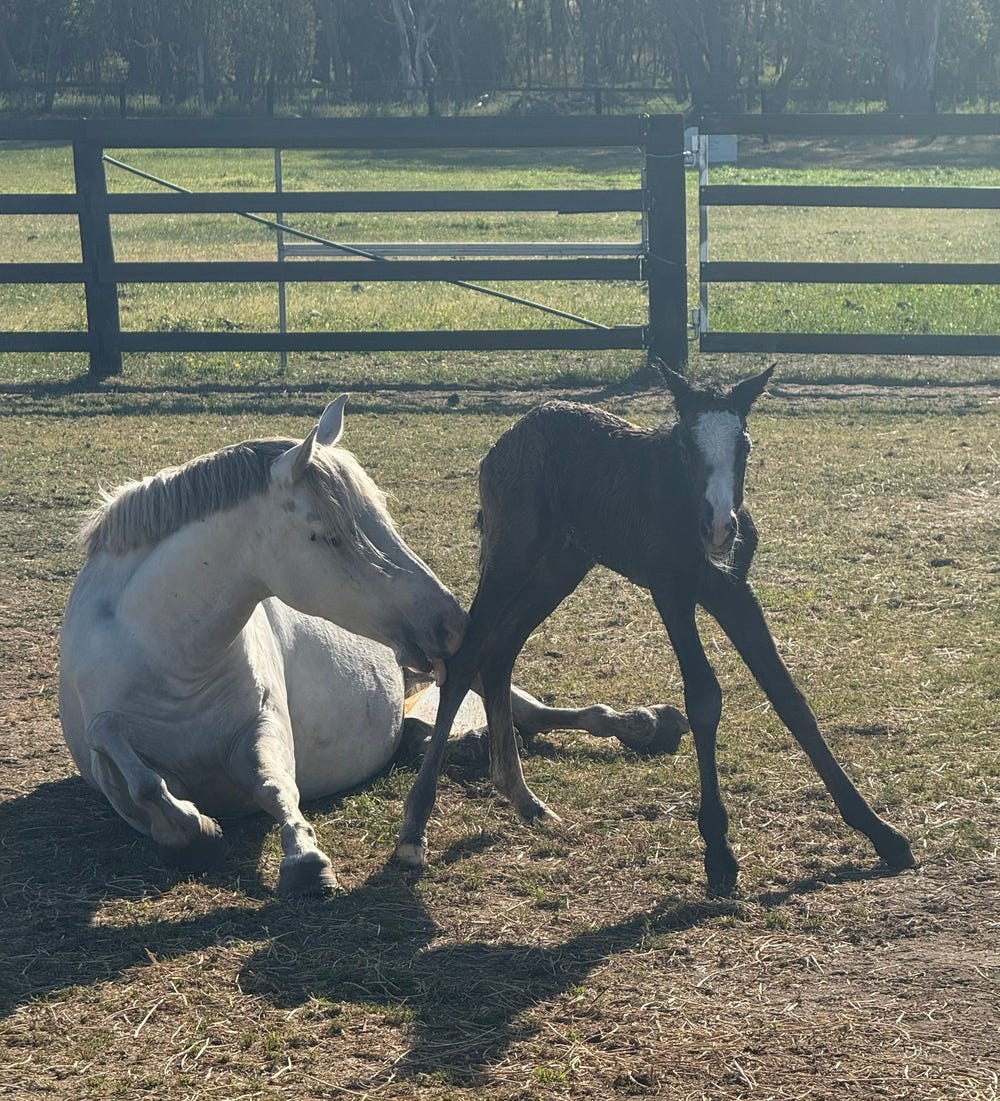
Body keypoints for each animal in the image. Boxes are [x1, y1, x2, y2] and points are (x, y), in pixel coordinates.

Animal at [59, 397, 686, 896]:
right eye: (329, 537)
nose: (452, 623)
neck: (171, 659)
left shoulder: (264, 729)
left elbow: (273, 783)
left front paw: (306, 859)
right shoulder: (113, 765)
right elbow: (138, 775)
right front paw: (201, 826)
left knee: (519, 700)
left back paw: (647, 724)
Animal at [396, 367, 916, 896]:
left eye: (744, 446)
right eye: (686, 446)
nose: (720, 529)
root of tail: (515, 433)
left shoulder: (733, 591)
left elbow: (789, 696)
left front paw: (880, 833)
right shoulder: (671, 591)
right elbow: (704, 697)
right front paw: (719, 854)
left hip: (560, 568)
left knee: (500, 653)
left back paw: (525, 800)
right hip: (512, 558)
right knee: (465, 660)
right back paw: (415, 829)